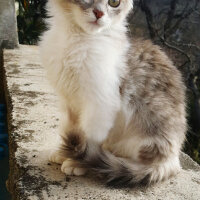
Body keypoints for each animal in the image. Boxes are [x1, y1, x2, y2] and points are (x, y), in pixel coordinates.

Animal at [39, 0, 187, 188]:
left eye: (114, 3)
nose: (99, 13)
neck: (77, 40)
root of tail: (174, 157)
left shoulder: (101, 103)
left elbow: (89, 137)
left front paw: (78, 161)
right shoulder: (69, 101)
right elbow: (71, 127)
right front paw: (64, 152)